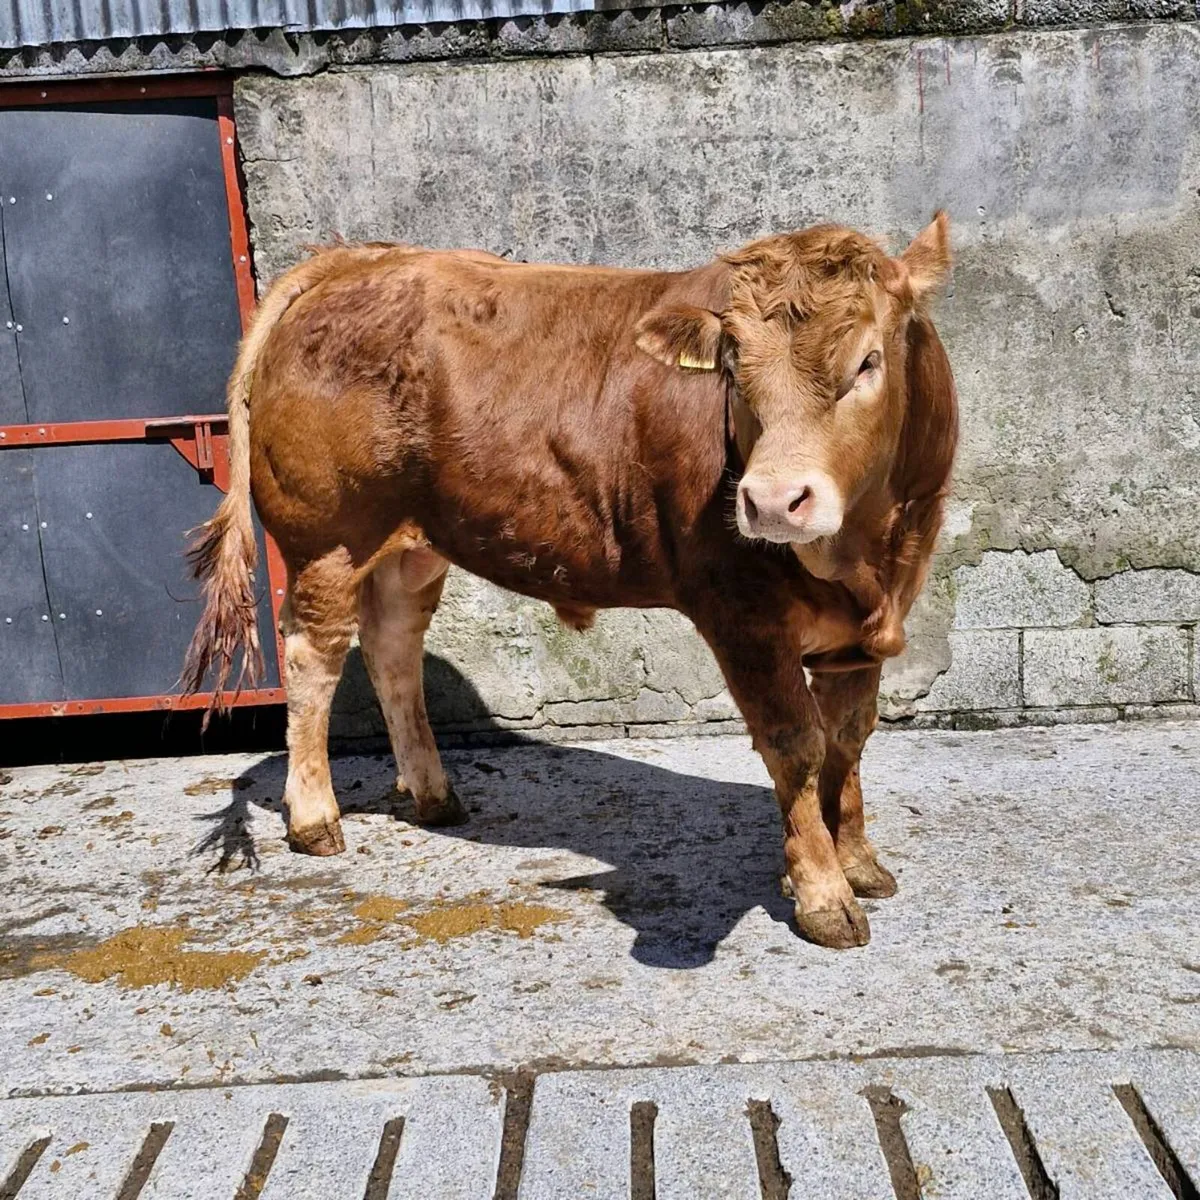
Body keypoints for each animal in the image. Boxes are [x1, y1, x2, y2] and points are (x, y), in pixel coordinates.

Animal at [182, 215, 957, 949]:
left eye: (868, 362)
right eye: (735, 373)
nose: (770, 502)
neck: (868, 558)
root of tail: (355, 260)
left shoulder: (862, 632)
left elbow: (848, 738)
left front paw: (855, 860)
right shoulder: (741, 614)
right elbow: (796, 743)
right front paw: (823, 894)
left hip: (415, 542)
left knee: (393, 649)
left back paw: (433, 795)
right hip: (329, 537)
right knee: (313, 656)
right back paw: (315, 819)